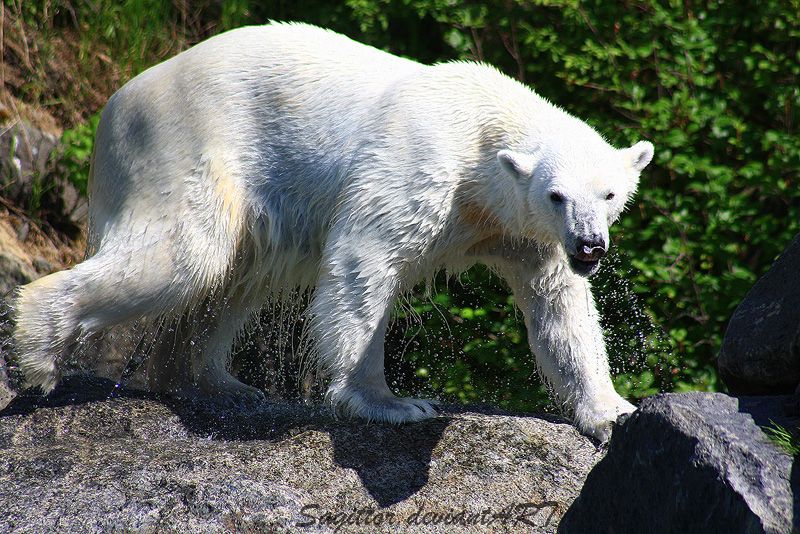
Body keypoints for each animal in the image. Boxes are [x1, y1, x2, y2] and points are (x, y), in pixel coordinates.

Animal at [12, 21, 652, 442]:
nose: (591, 246)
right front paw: (392, 403)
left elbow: (559, 306)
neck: (481, 123)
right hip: (182, 148)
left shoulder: (519, 230)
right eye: (556, 194)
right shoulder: (423, 160)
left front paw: (613, 411)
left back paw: (217, 384)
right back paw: (39, 354)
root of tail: (113, 108)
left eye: (609, 194)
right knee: (184, 256)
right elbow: (366, 256)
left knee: (233, 278)